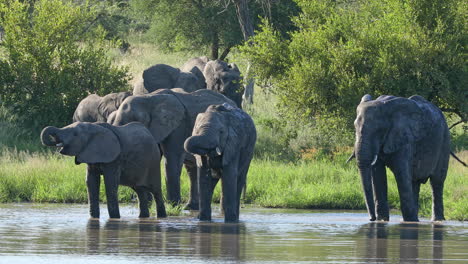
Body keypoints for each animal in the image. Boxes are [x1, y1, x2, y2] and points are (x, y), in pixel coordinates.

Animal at [352, 94, 452, 222]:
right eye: (355, 127)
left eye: (379, 129)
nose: (371, 219)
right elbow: (378, 175)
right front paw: (382, 221)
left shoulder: (405, 138)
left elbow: (401, 174)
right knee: (414, 183)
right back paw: (416, 219)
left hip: (445, 141)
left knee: (437, 182)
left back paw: (436, 220)